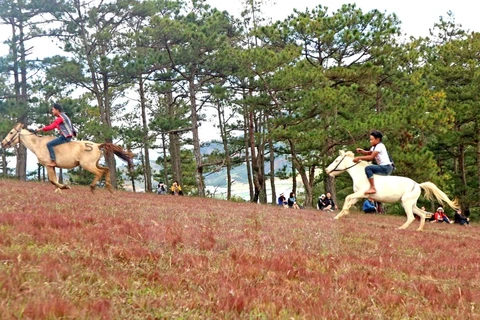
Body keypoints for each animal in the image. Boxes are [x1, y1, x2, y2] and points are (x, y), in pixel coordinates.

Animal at [1, 122, 134, 192]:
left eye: (11, 132)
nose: (2, 143)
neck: (38, 144)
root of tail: (97, 145)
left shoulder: (48, 165)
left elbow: (52, 180)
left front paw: (65, 186)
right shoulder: (52, 166)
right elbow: (54, 180)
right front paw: (60, 189)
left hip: (88, 165)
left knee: (99, 172)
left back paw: (92, 187)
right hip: (95, 163)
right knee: (106, 169)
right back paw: (109, 188)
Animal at [324, 150, 460, 230]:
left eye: (336, 160)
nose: (326, 170)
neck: (360, 174)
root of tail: (417, 184)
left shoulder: (361, 193)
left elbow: (347, 198)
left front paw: (343, 213)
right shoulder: (359, 195)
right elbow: (348, 202)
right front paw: (338, 216)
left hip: (406, 203)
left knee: (411, 217)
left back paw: (400, 228)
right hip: (411, 203)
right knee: (421, 214)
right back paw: (419, 229)